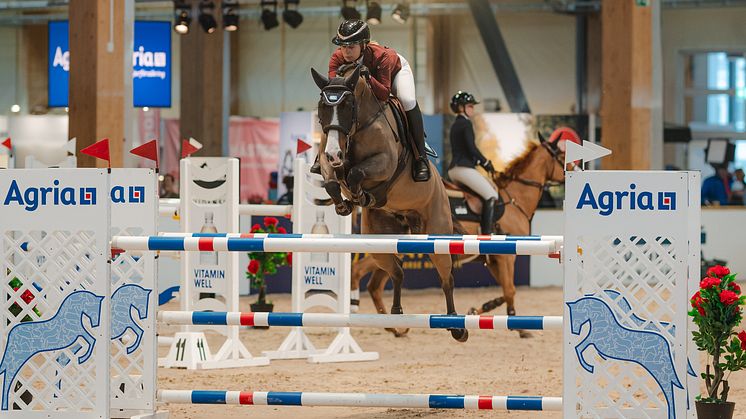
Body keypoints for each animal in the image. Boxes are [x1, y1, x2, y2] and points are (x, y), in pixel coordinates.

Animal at [348, 136, 564, 340]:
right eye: (562, 156)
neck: (515, 199)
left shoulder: (494, 261)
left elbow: (505, 291)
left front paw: (478, 309)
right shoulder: (506, 257)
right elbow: (510, 290)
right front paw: (520, 328)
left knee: (375, 285)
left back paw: (394, 327)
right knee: (359, 272)